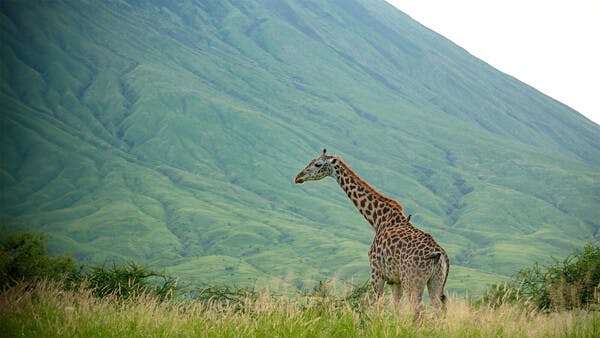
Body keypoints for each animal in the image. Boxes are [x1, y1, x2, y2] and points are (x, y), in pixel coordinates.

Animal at [292, 149, 448, 320]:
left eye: (318, 164)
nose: (298, 177)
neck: (378, 220)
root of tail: (438, 252)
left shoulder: (376, 272)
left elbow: (377, 305)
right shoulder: (394, 280)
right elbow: (397, 309)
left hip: (412, 281)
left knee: (420, 310)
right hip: (435, 281)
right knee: (439, 308)